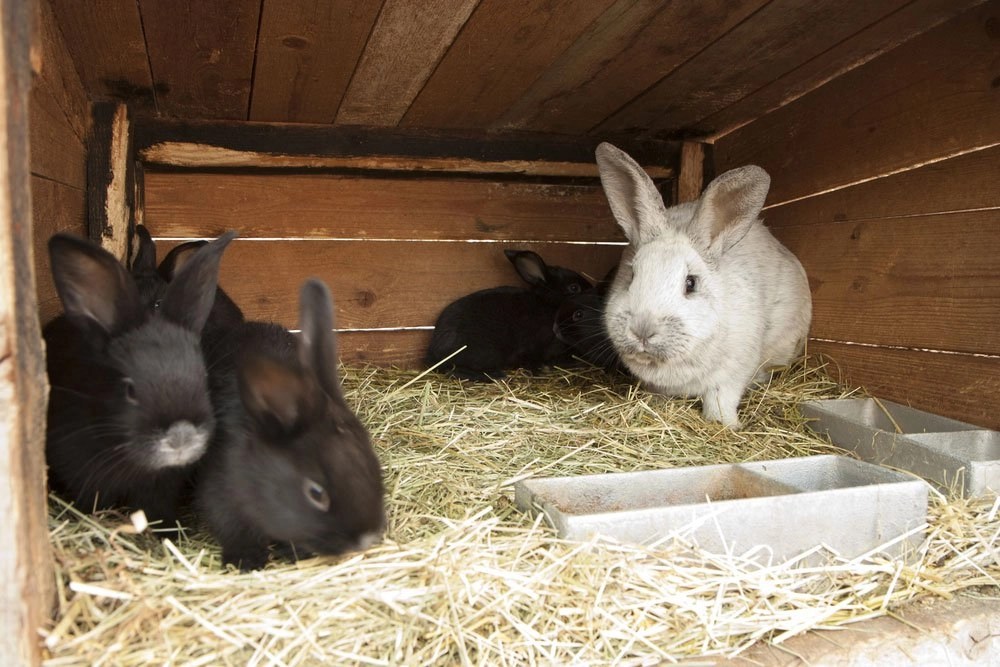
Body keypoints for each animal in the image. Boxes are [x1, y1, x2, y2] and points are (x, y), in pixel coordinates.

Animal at [195, 279, 385, 571]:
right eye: (316, 493)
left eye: (375, 467)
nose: (365, 539)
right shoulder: (220, 495)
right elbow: (233, 531)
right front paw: (245, 560)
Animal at [425, 249, 593, 381]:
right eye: (574, 288)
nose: (593, 291)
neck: (549, 303)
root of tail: (435, 352)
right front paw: (542, 369)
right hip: (486, 353)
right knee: (454, 370)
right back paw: (496, 375)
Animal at [595, 142, 812, 428]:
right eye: (632, 275)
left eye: (691, 283)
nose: (642, 330)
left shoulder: (732, 374)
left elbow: (721, 400)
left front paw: (727, 424)